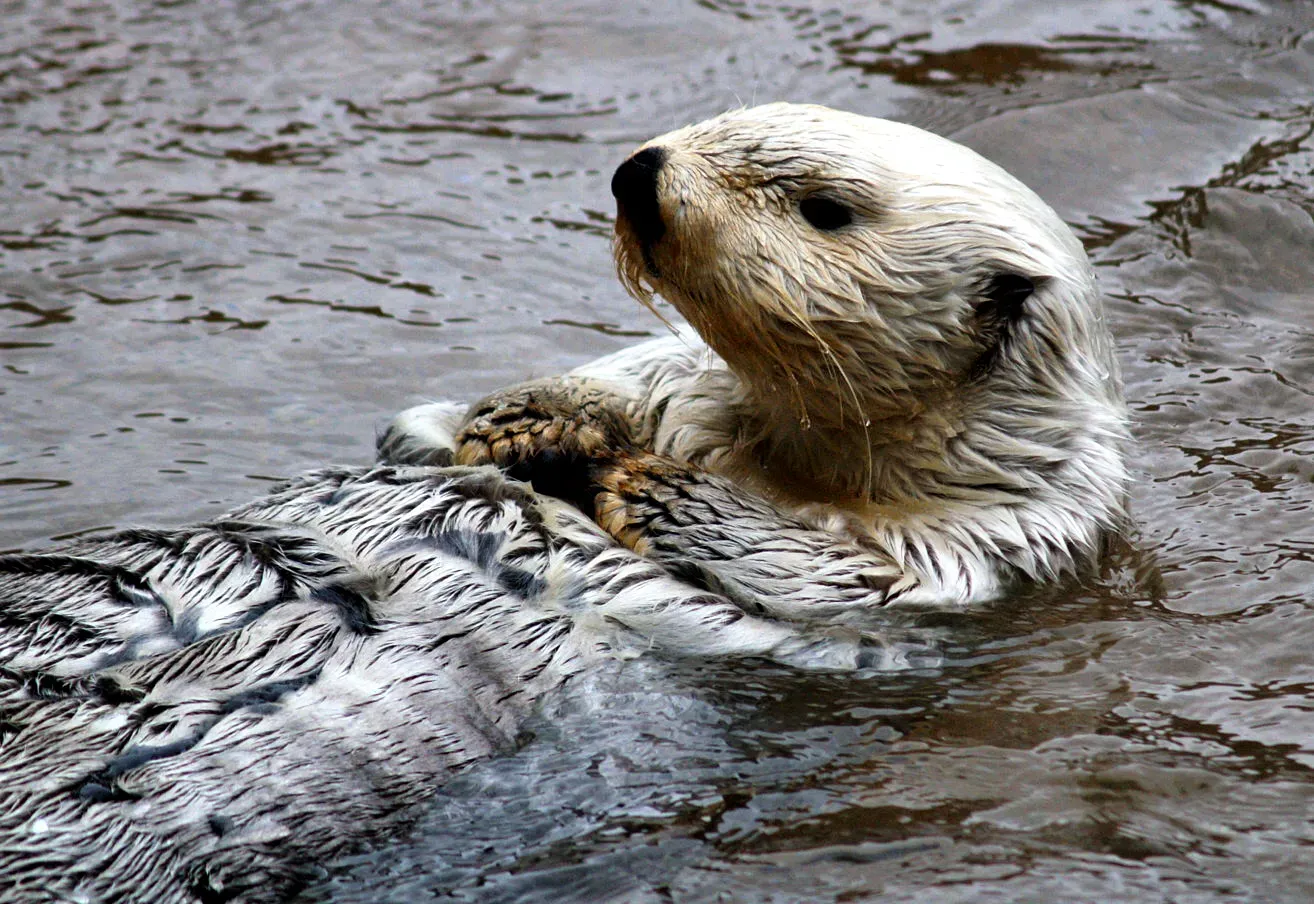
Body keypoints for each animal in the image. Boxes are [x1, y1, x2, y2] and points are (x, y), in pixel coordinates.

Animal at [0, 104, 1126, 901]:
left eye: (825, 209)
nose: (641, 172)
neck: (778, 455)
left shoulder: (1002, 546)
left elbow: (851, 581)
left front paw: (648, 487)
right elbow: (432, 427)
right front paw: (535, 424)